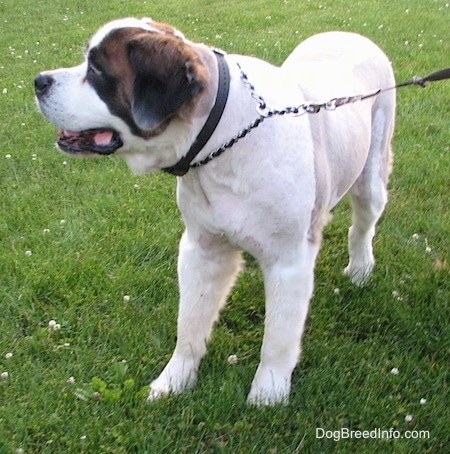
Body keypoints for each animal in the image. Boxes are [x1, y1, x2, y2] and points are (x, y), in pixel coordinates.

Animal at [34, 17, 394, 406]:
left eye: (97, 70)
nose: (39, 81)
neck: (224, 139)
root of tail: (351, 35)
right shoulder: (201, 249)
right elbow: (190, 323)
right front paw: (174, 380)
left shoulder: (289, 261)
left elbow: (278, 337)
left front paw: (267, 395)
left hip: (372, 172)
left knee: (363, 224)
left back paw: (360, 269)